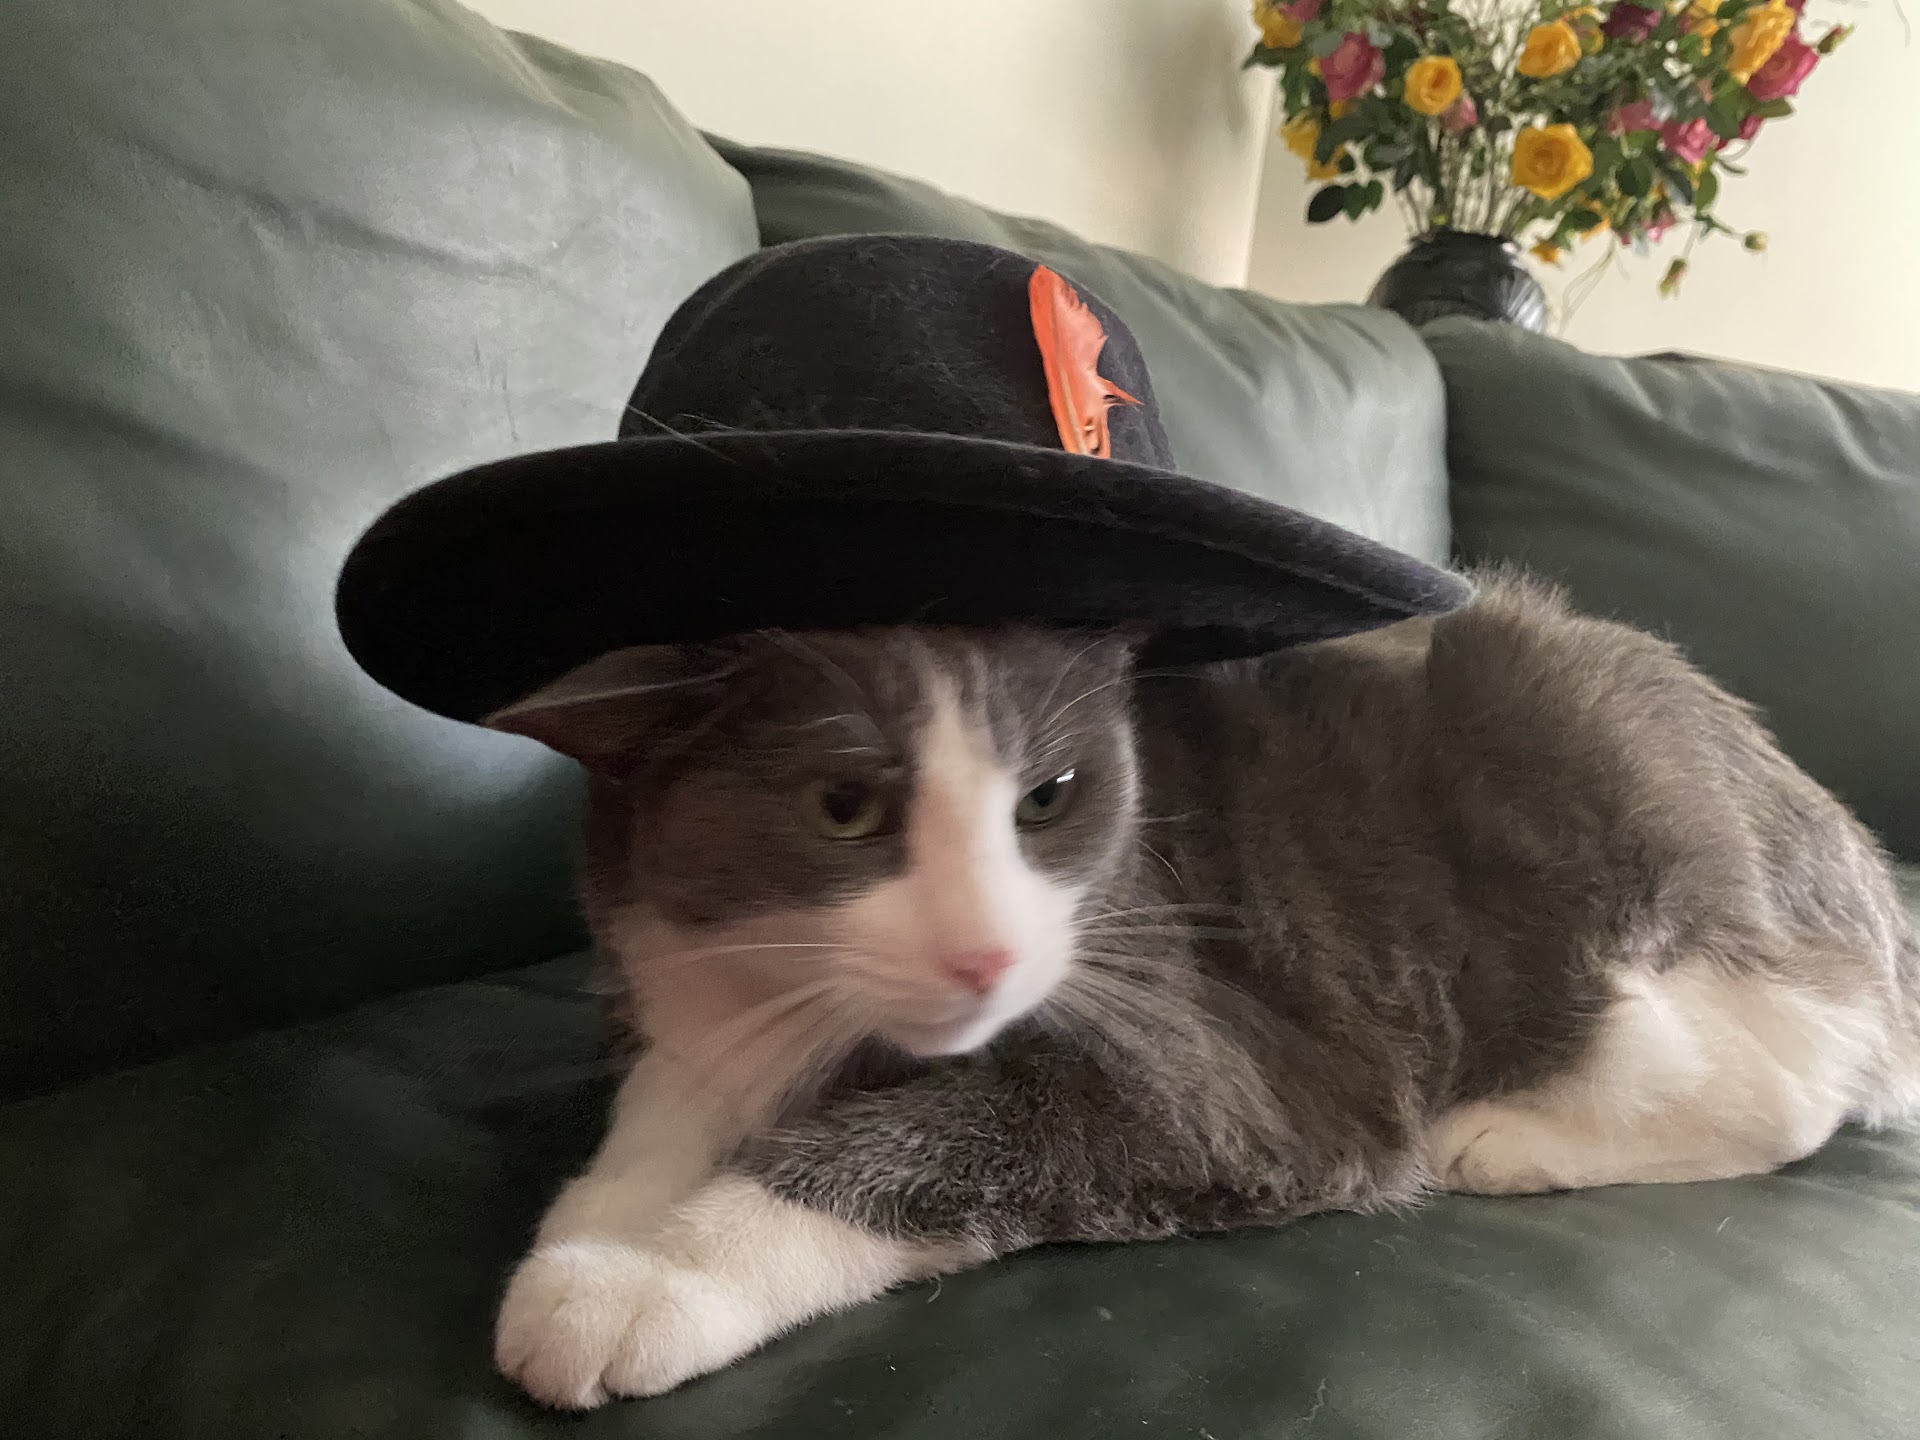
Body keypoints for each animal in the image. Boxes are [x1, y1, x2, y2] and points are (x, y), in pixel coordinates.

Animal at [484, 572, 1920, 1410]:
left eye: (1049, 799)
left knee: (1787, 1078)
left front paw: (654, 1277)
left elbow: (941, 1137)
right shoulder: (685, 982)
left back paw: (1510, 1139)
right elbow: (668, 1100)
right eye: (845, 808)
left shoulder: (1222, 1061)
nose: (986, 955)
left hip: (1638, 865)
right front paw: (598, 1225)